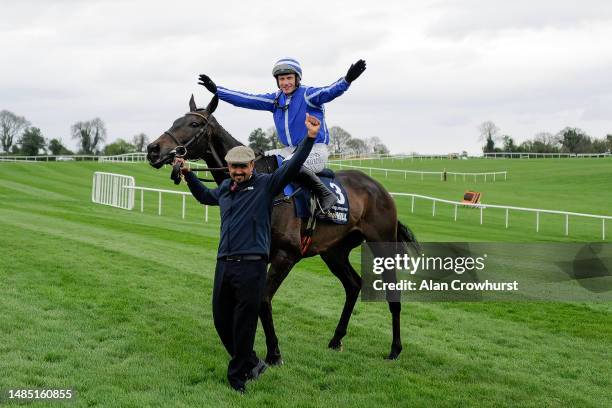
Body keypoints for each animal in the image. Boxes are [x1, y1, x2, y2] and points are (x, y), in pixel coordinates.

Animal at [146, 94, 418, 364]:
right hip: (334, 251)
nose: (152, 149)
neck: (259, 183)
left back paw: (395, 349)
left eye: (193, 124)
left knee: (392, 293)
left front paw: (274, 353)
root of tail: (381, 189)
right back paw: (336, 339)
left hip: (382, 244)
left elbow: (263, 299)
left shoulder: (286, 255)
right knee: (353, 285)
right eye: (175, 121)